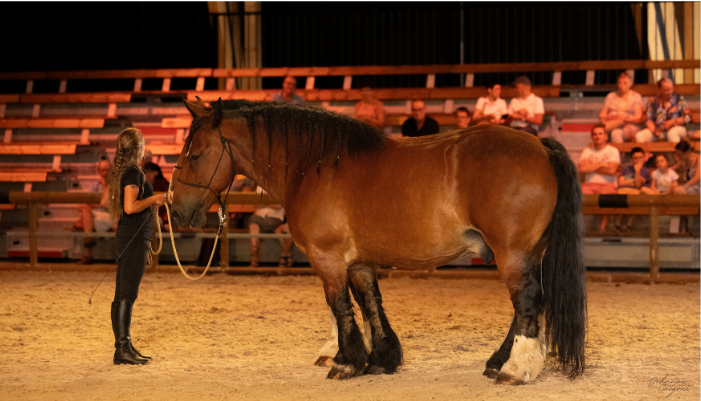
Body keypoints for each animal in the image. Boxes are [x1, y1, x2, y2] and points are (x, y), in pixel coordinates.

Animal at [167, 98, 587, 384]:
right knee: (525, 308)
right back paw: (499, 361)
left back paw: (514, 368)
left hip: (511, 254)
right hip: (526, 254)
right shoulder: (359, 263)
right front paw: (381, 358)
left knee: (527, 302)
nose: (176, 210)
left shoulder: (328, 259)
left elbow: (338, 306)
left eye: (196, 154)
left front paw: (345, 360)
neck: (313, 165)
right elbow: (370, 305)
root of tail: (541, 147)